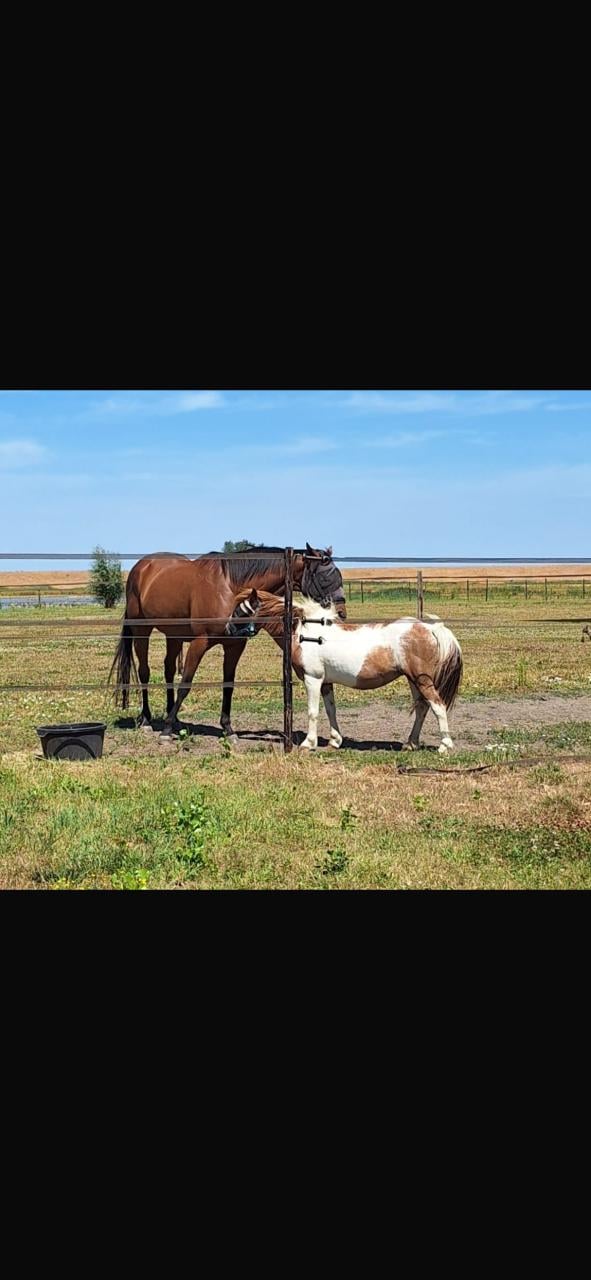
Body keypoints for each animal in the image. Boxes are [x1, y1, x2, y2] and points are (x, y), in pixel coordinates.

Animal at [109, 545, 346, 737]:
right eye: (325, 576)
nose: (341, 612)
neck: (231, 586)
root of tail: (140, 568)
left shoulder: (235, 645)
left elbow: (228, 685)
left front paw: (228, 728)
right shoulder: (200, 643)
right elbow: (185, 683)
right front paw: (166, 730)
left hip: (173, 635)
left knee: (168, 670)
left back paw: (173, 718)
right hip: (142, 630)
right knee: (144, 673)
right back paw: (147, 720)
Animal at [227, 590, 463, 753]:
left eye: (242, 609)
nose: (228, 628)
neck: (303, 631)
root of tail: (430, 627)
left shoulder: (312, 679)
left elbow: (313, 712)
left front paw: (308, 743)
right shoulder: (326, 682)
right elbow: (331, 710)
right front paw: (335, 741)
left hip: (422, 680)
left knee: (438, 706)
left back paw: (444, 745)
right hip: (413, 680)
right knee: (422, 708)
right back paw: (411, 744)